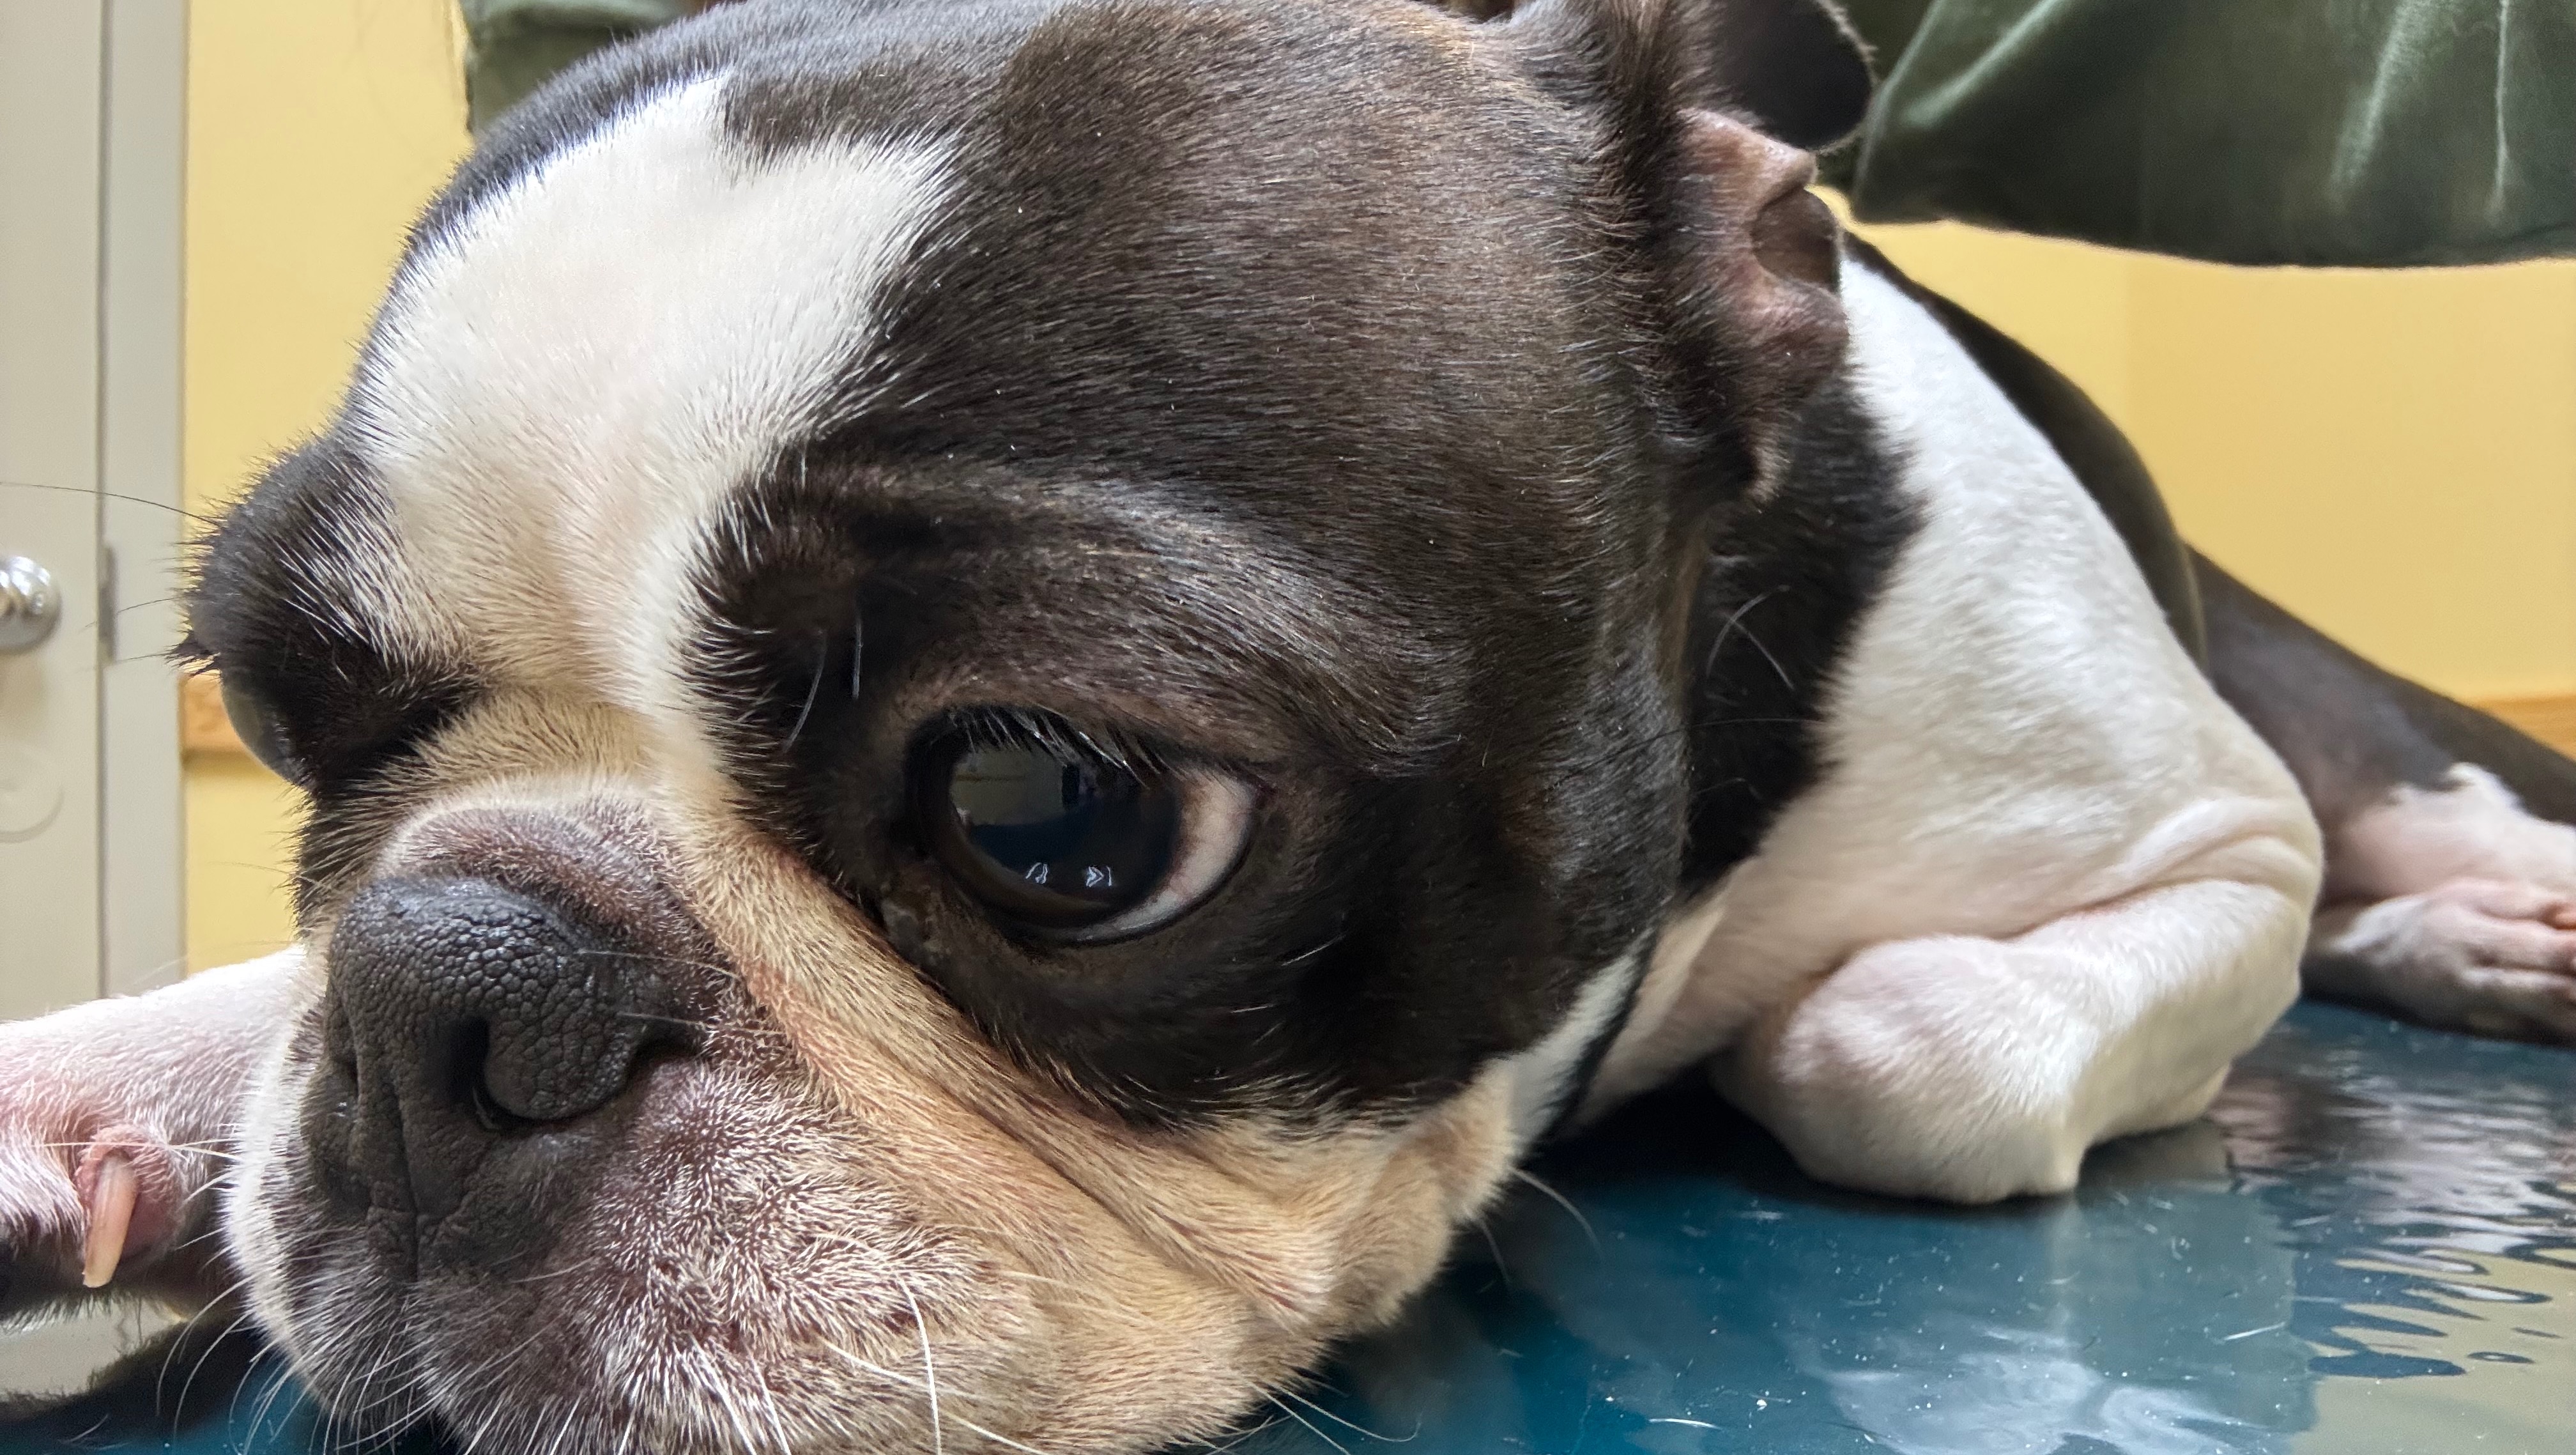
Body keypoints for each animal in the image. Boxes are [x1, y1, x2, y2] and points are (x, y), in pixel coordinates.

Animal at [6, 1, 2574, 1450]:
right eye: (287, 709)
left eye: (1053, 806)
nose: (452, 1006)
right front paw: (136, 1070)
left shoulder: (2202, 850)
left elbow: (1895, 1046)